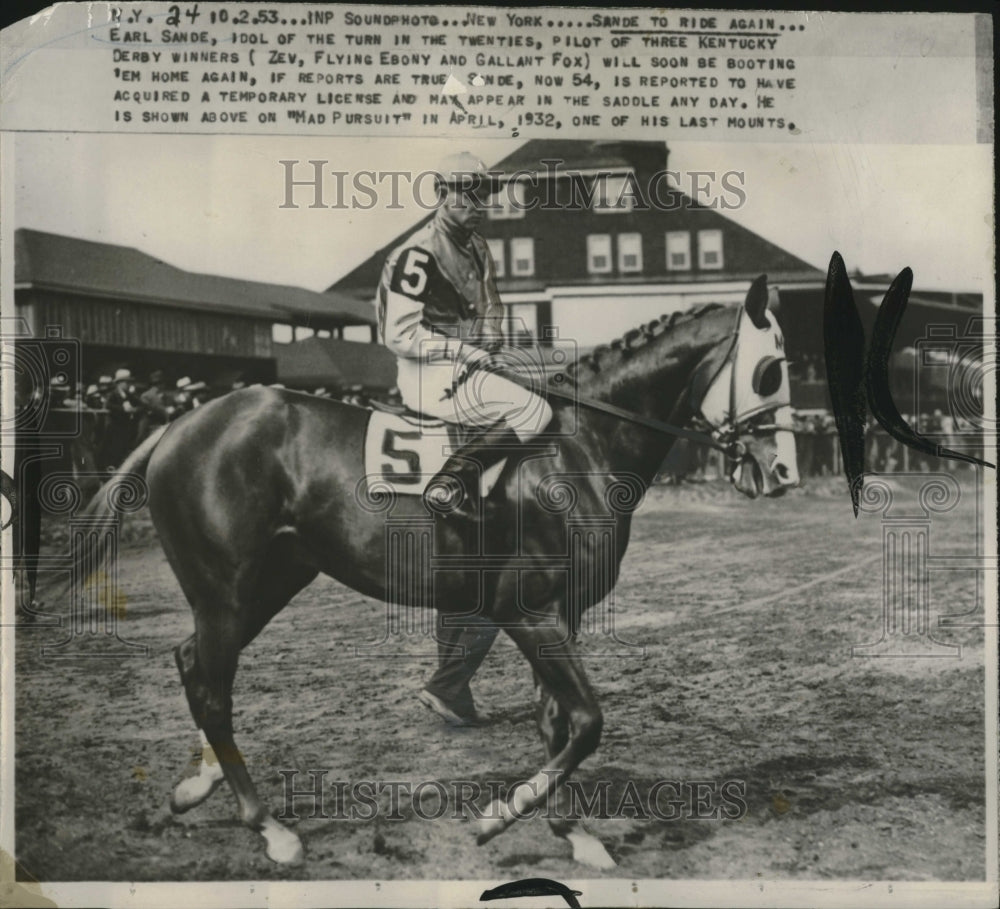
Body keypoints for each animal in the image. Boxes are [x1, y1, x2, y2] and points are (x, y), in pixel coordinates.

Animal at [76, 274, 796, 864]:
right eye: (770, 372)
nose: (783, 471)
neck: (578, 451)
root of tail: (181, 424)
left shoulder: (560, 615)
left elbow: (559, 722)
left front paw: (572, 832)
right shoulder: (524, 610)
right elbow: (587, 721)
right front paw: (499, 816)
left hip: (268, 581)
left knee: (194, 663)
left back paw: (199, 784)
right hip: (226, 588)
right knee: (214, 689)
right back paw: (269, 826)